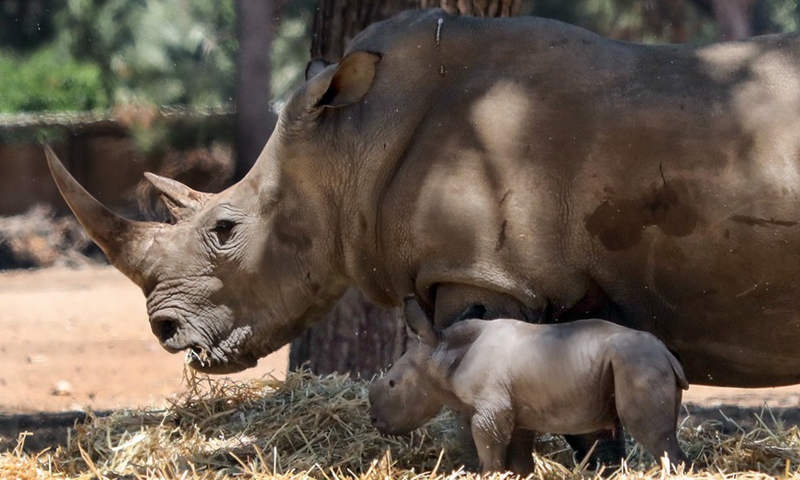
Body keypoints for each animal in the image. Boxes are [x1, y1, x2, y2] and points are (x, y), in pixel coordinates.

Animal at [369, 298, 690, 473]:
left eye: (393, 384)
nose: (373, 420)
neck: (445, 350)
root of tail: (667, 355)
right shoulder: (516, 409)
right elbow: (519, 457)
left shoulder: (490, 408)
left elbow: (489, 450)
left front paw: (489, 473)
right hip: (645, 362)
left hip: (638, 364)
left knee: (654, 436)